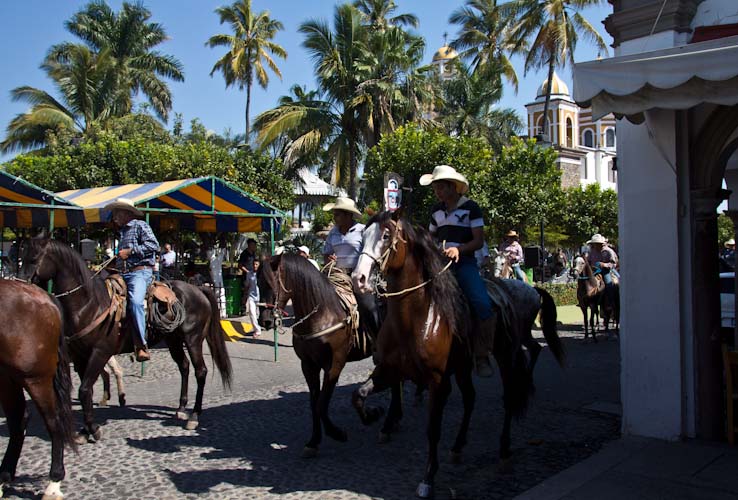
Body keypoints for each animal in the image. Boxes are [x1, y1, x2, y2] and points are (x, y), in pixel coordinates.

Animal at [0, 280, 75, 500]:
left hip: (34, 377)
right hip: (7, 377)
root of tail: (44, 295)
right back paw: (4, 477)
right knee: (18, 421)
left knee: (53, 421)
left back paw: (53, 484)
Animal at [18, 239, 231, 442]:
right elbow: (86, 390)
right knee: (184, 366)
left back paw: (194, 416)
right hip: (173, 340)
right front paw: (85, 430)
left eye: (34, 257)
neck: (89, 304)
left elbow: (85, 389)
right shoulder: (80, 357)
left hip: (193, 339)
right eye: (23, 255)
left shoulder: (100, 353)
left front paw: (93, 429)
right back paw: (181, 409)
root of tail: (198, 289)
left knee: (200, 371)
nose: (21, 283)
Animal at [262, 254, 402, 458]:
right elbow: (314, 404)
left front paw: (338, 432)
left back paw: (387, 424)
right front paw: (313, 442)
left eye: (271, 284)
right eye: (256, 282)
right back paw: (393, 422)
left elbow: (322, 403)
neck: (322, 315)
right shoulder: (308, 366)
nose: (264, 321)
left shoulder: (335, 364)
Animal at [350, 212, 564, 500]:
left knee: (509, 397)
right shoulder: (388, 370)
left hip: (505, 356)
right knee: (471, 398)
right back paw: (458, 446)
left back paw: (504, 450)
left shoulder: (437, 381)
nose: (359, 278)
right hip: (463, 367)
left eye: (385, 235)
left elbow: (433, 429)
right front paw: (374, 415)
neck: (415, 317)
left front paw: (428, 478)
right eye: (362, 236)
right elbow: (358, 395)